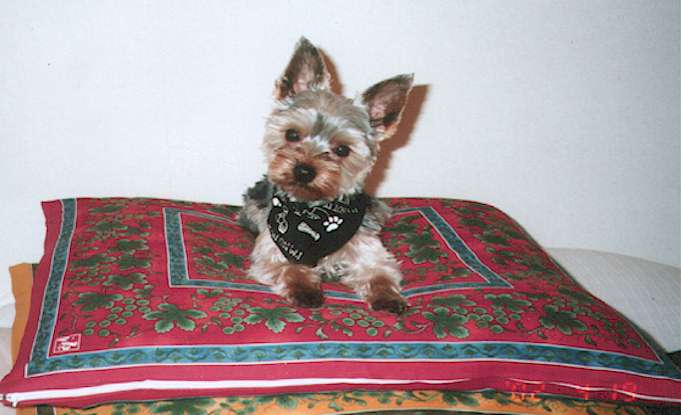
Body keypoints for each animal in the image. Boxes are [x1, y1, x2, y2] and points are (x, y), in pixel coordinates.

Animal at [239, 37, 413, 314]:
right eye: (292, 134)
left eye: (342, 149)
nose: (303, 170)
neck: (315, 213)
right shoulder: (272, 250)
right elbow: (289, 268)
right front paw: (305, 290)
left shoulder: (368, 249)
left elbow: (379, 273)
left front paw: (388, 297)